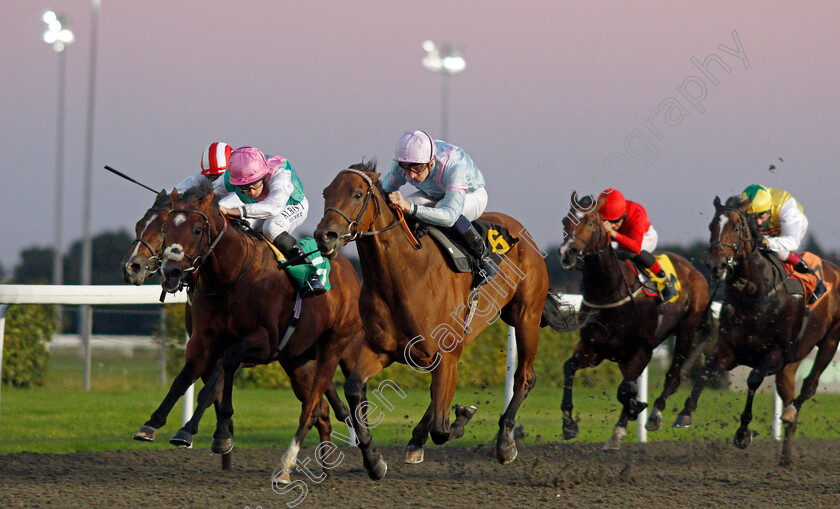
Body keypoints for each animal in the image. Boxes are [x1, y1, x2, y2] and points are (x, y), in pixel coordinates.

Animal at [135, 179, 364, 476]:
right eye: (167, 230)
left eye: (197, 230)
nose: (170, 272)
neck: (231, 277)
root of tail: (348, 269)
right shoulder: (203, 341)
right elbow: (184, 380)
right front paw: (153, 424)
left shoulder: (261, 344)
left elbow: (218, 379)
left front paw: (192, 431)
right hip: (299, 361)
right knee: (320, 409)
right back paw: (324, 467)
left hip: (346, 348)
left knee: (355, 399)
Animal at [312, 163, 556, 480]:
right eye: (326, 193)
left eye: (356, 194)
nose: (324, 236)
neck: (404, 275)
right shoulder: (381, 348)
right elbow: (354, 388)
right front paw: (374, 460)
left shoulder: (445, 352)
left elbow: (442, 429)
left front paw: (463, 416)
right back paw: (417, 439)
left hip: (525, 316)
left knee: (525, 377)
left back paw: (504, 443)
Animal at [556, 190, 716, 448]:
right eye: (564, 221)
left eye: (590, 222)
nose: (566, 253)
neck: (610, 292)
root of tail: (694, 271)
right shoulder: (594, 348)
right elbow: (569, 368)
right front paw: (569, 424)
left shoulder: (642, 349)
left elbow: (625, 389)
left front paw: (632, 412)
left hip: (687, 329)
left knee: (675, 374)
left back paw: (657, 415)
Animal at [672, 195, 840, 464]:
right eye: (711, 226)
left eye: (737, 228)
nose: (717, 266)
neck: (752, 293)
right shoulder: (729, 350)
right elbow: (706, 371)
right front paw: (685, 412)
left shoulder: (774, 354)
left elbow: (752, 379)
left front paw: (742, 432)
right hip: (790, 365)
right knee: (790, 393)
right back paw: (785, 457)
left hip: (830, 342)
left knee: (809, 385)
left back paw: (790, 412)